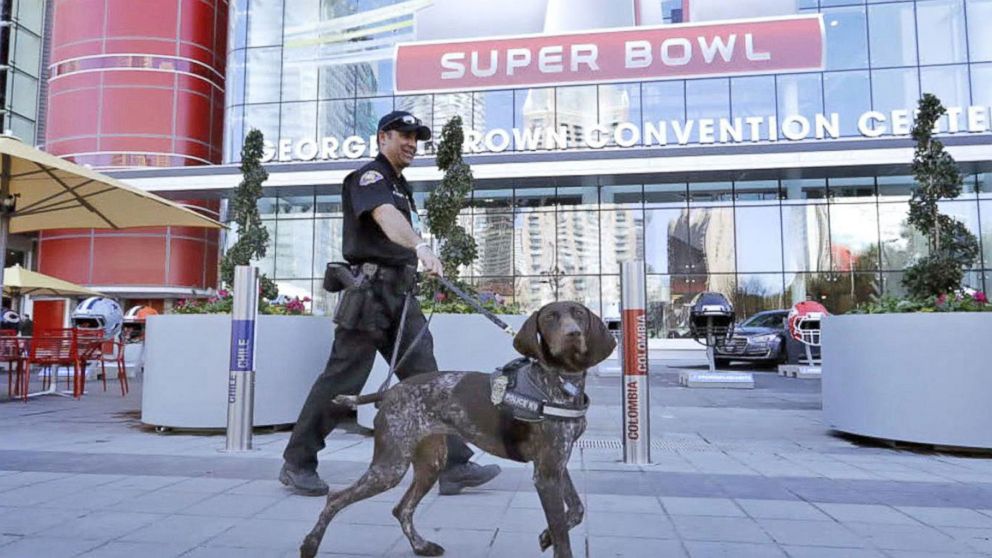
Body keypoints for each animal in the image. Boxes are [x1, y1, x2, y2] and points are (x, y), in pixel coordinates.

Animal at [298, 304, 616, 556]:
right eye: (550, 317)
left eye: (578, 314)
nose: (573, 334)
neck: (561, 383)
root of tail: (390, 391)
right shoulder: (546, 473)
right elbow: (563, 537)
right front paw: (553, 537)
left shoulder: (556, 463)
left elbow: (575, 511)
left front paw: (545, 536)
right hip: (390, 467)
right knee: (335, 499)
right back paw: (309, 545)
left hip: (430, 462)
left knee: (402, 509)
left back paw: (422, 546)